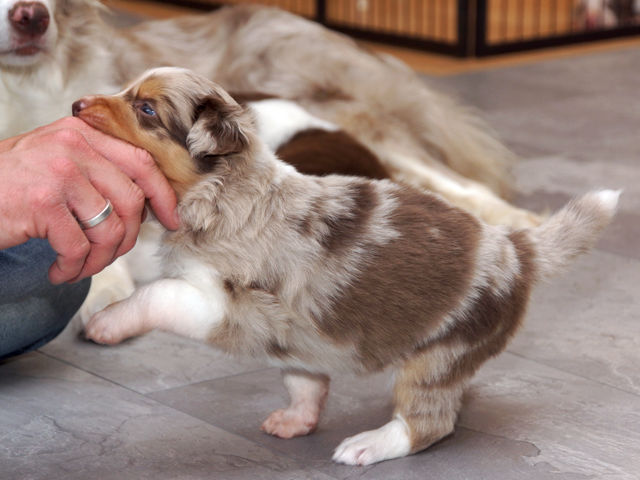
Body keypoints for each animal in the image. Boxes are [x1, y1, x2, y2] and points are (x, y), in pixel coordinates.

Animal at [74, 67, 618, 466]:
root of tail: (516, 247)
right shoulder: (275, 320)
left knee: (429, 422)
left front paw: (107, 323)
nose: (76, 105)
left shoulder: (222, 305)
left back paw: (368, 445)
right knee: (311, 380)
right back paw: (297, 418)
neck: (223, 188)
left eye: (146, 108)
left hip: (443, 354)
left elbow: (153, 295)